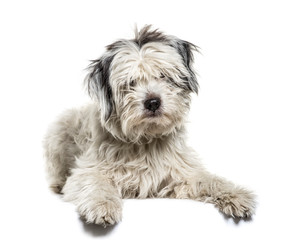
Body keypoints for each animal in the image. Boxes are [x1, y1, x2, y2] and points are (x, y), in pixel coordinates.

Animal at [44, 25, 255, 226]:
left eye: (163, 75)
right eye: (130, 82)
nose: (153, 102)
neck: (146, 140)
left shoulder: (181, 174)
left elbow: (210, 180)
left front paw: (237, 195)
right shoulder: (87, 171)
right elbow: (96, 184)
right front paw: (103, 205)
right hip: (58, 132)